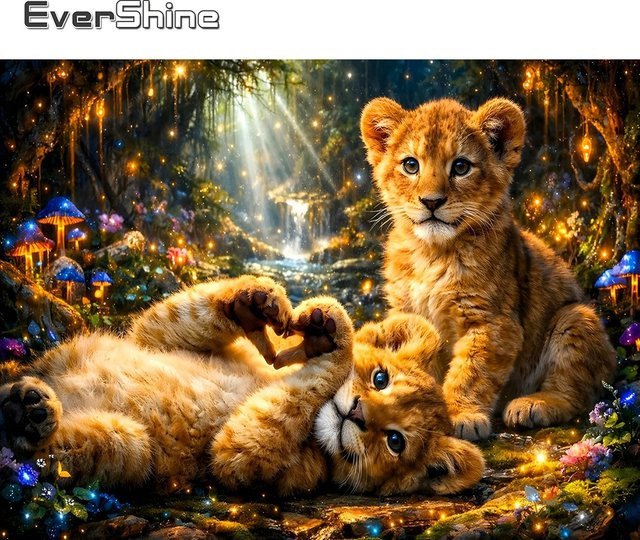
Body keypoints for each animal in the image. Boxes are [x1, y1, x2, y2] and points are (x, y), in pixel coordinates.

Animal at [0, 275, 483, 496]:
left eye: (396, 442)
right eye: (381, 378)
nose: (358, 413)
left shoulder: (245, 462)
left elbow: (267, 420)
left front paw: (334, 337)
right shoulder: (152, 338)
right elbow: (179, 314)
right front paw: (261, 302)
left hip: (130, 444)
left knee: (32, 459)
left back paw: (30, 412)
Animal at [360, 96, 616, 441]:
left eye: (461, 167)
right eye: (411, 165)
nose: (431, 201)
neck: (431, 252)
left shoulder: (492, 321)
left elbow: (471, 371)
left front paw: (461, 416)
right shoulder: (407, 313)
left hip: (575, 318)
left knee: (577, 393)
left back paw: (532, 405)